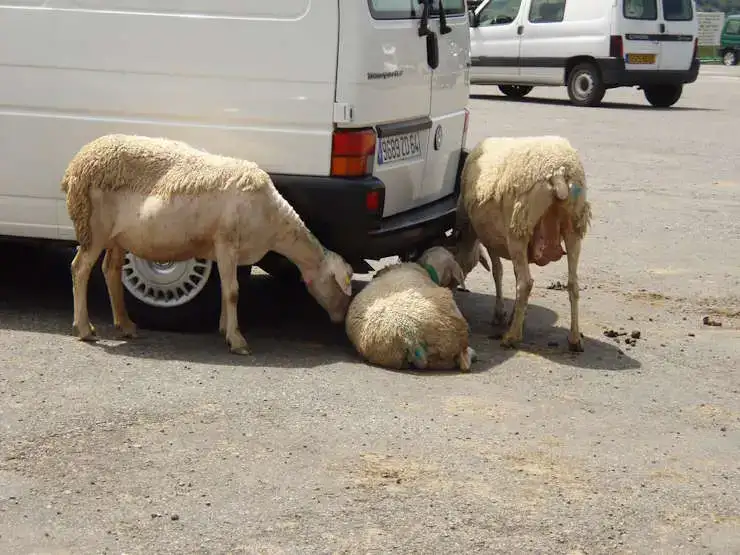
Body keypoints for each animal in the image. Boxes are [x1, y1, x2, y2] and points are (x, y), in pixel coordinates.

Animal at [60, 132, 356, 354]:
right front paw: (237, 341)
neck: (273, 221)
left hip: (119, 236)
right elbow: (233, 292)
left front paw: (225, 328)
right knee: (80, 268)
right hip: (94, 227)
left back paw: (125, 325)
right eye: (340, 285)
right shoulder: (226, 242)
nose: (342, 317)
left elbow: (228, 289)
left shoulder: (226, 249)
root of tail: (76, 164)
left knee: (110, 271)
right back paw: (84, 328)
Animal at [446, 136, 596, 352]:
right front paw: (515, 315)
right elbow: (511, 274)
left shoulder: (492, 239)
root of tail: (558, 173)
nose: (453, 290)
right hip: (573, 226)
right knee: (572, 284)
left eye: (465, 267)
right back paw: (575, 339)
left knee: (525, 283)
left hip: (518, 228)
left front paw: (500, 315)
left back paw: (512, 337)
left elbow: (498, 272)